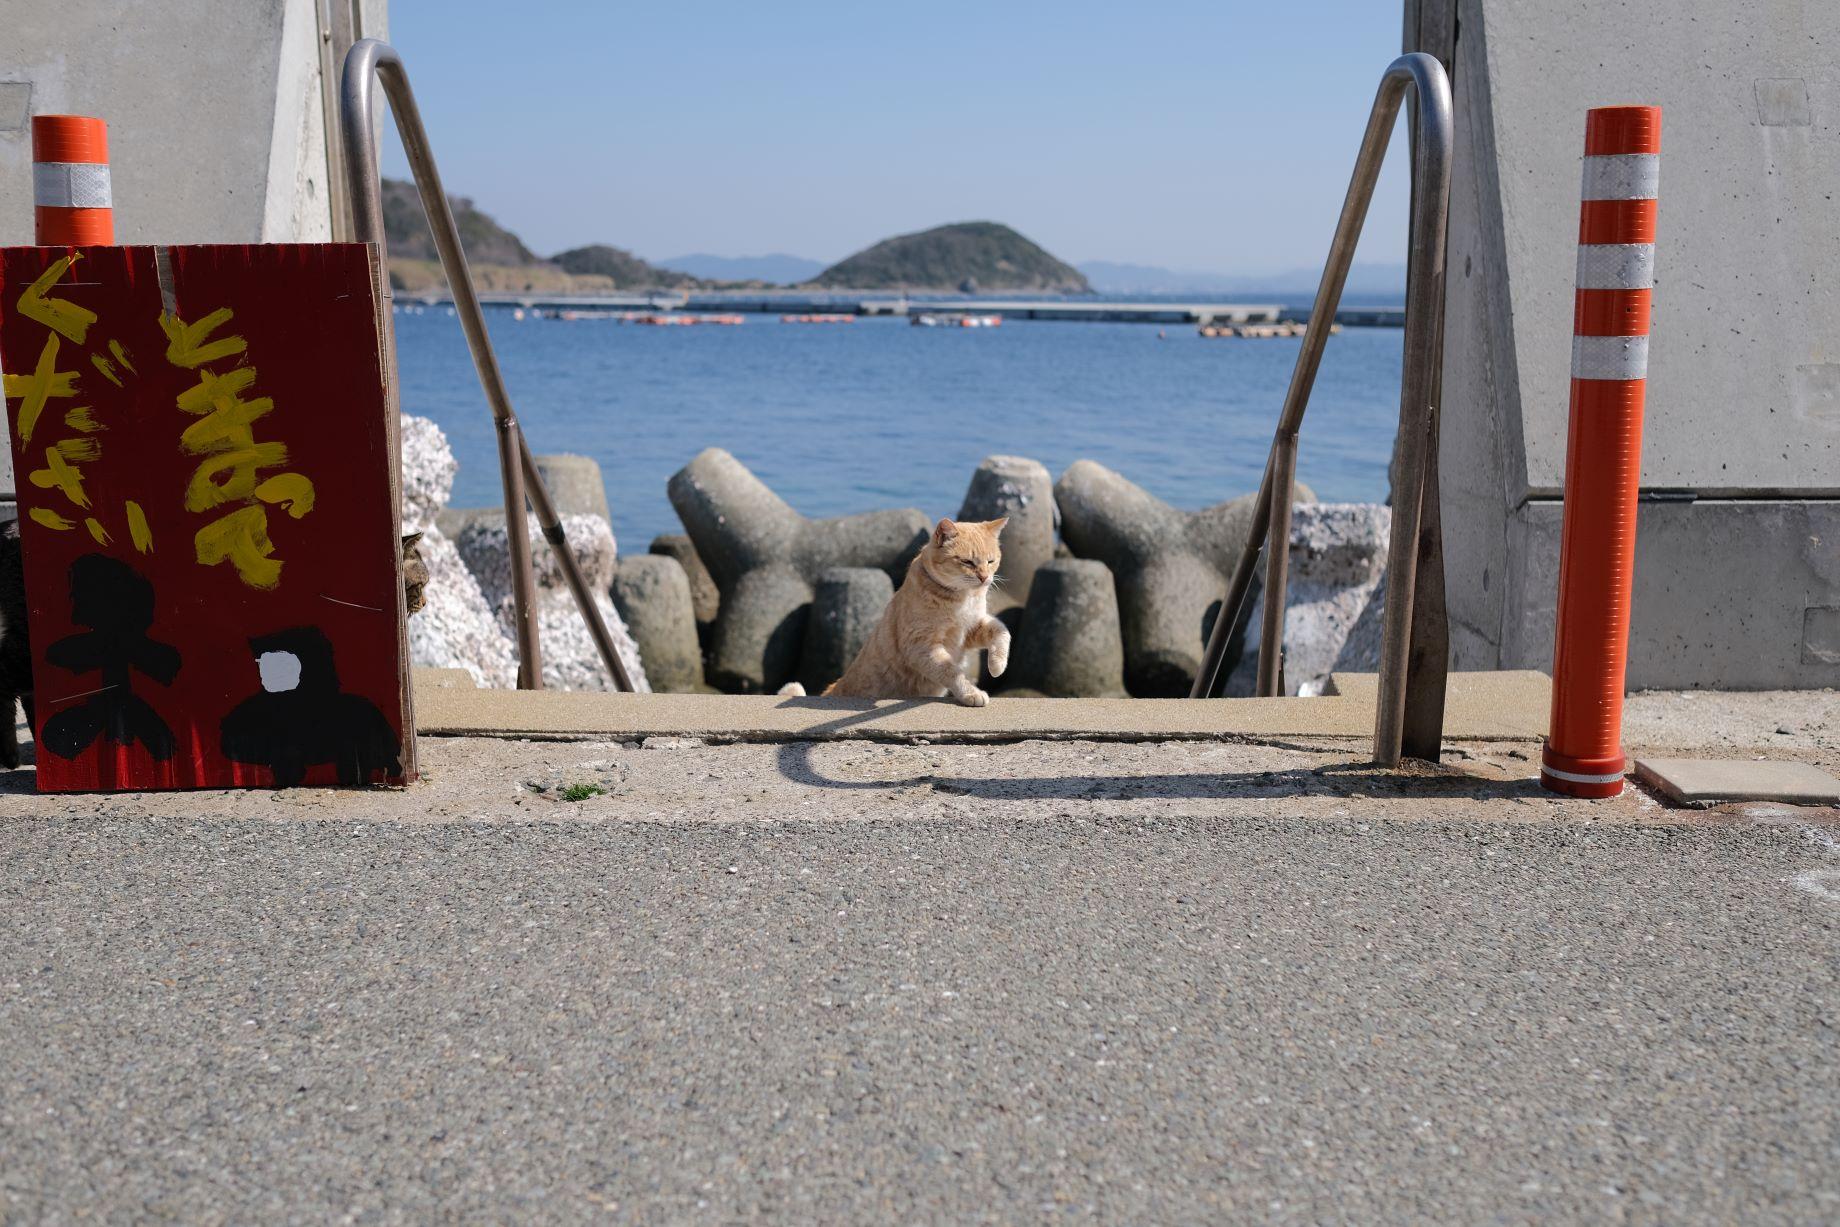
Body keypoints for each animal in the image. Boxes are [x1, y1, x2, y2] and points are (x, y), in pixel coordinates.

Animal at [782, 516, 1010, 706]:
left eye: (991, 561)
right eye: (967, 562)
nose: (984, 577)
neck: (963, 598)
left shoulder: (972, 628)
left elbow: (1002, 632)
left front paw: (997, 666)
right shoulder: (921, 645)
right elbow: (951, 671)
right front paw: (971, 692)